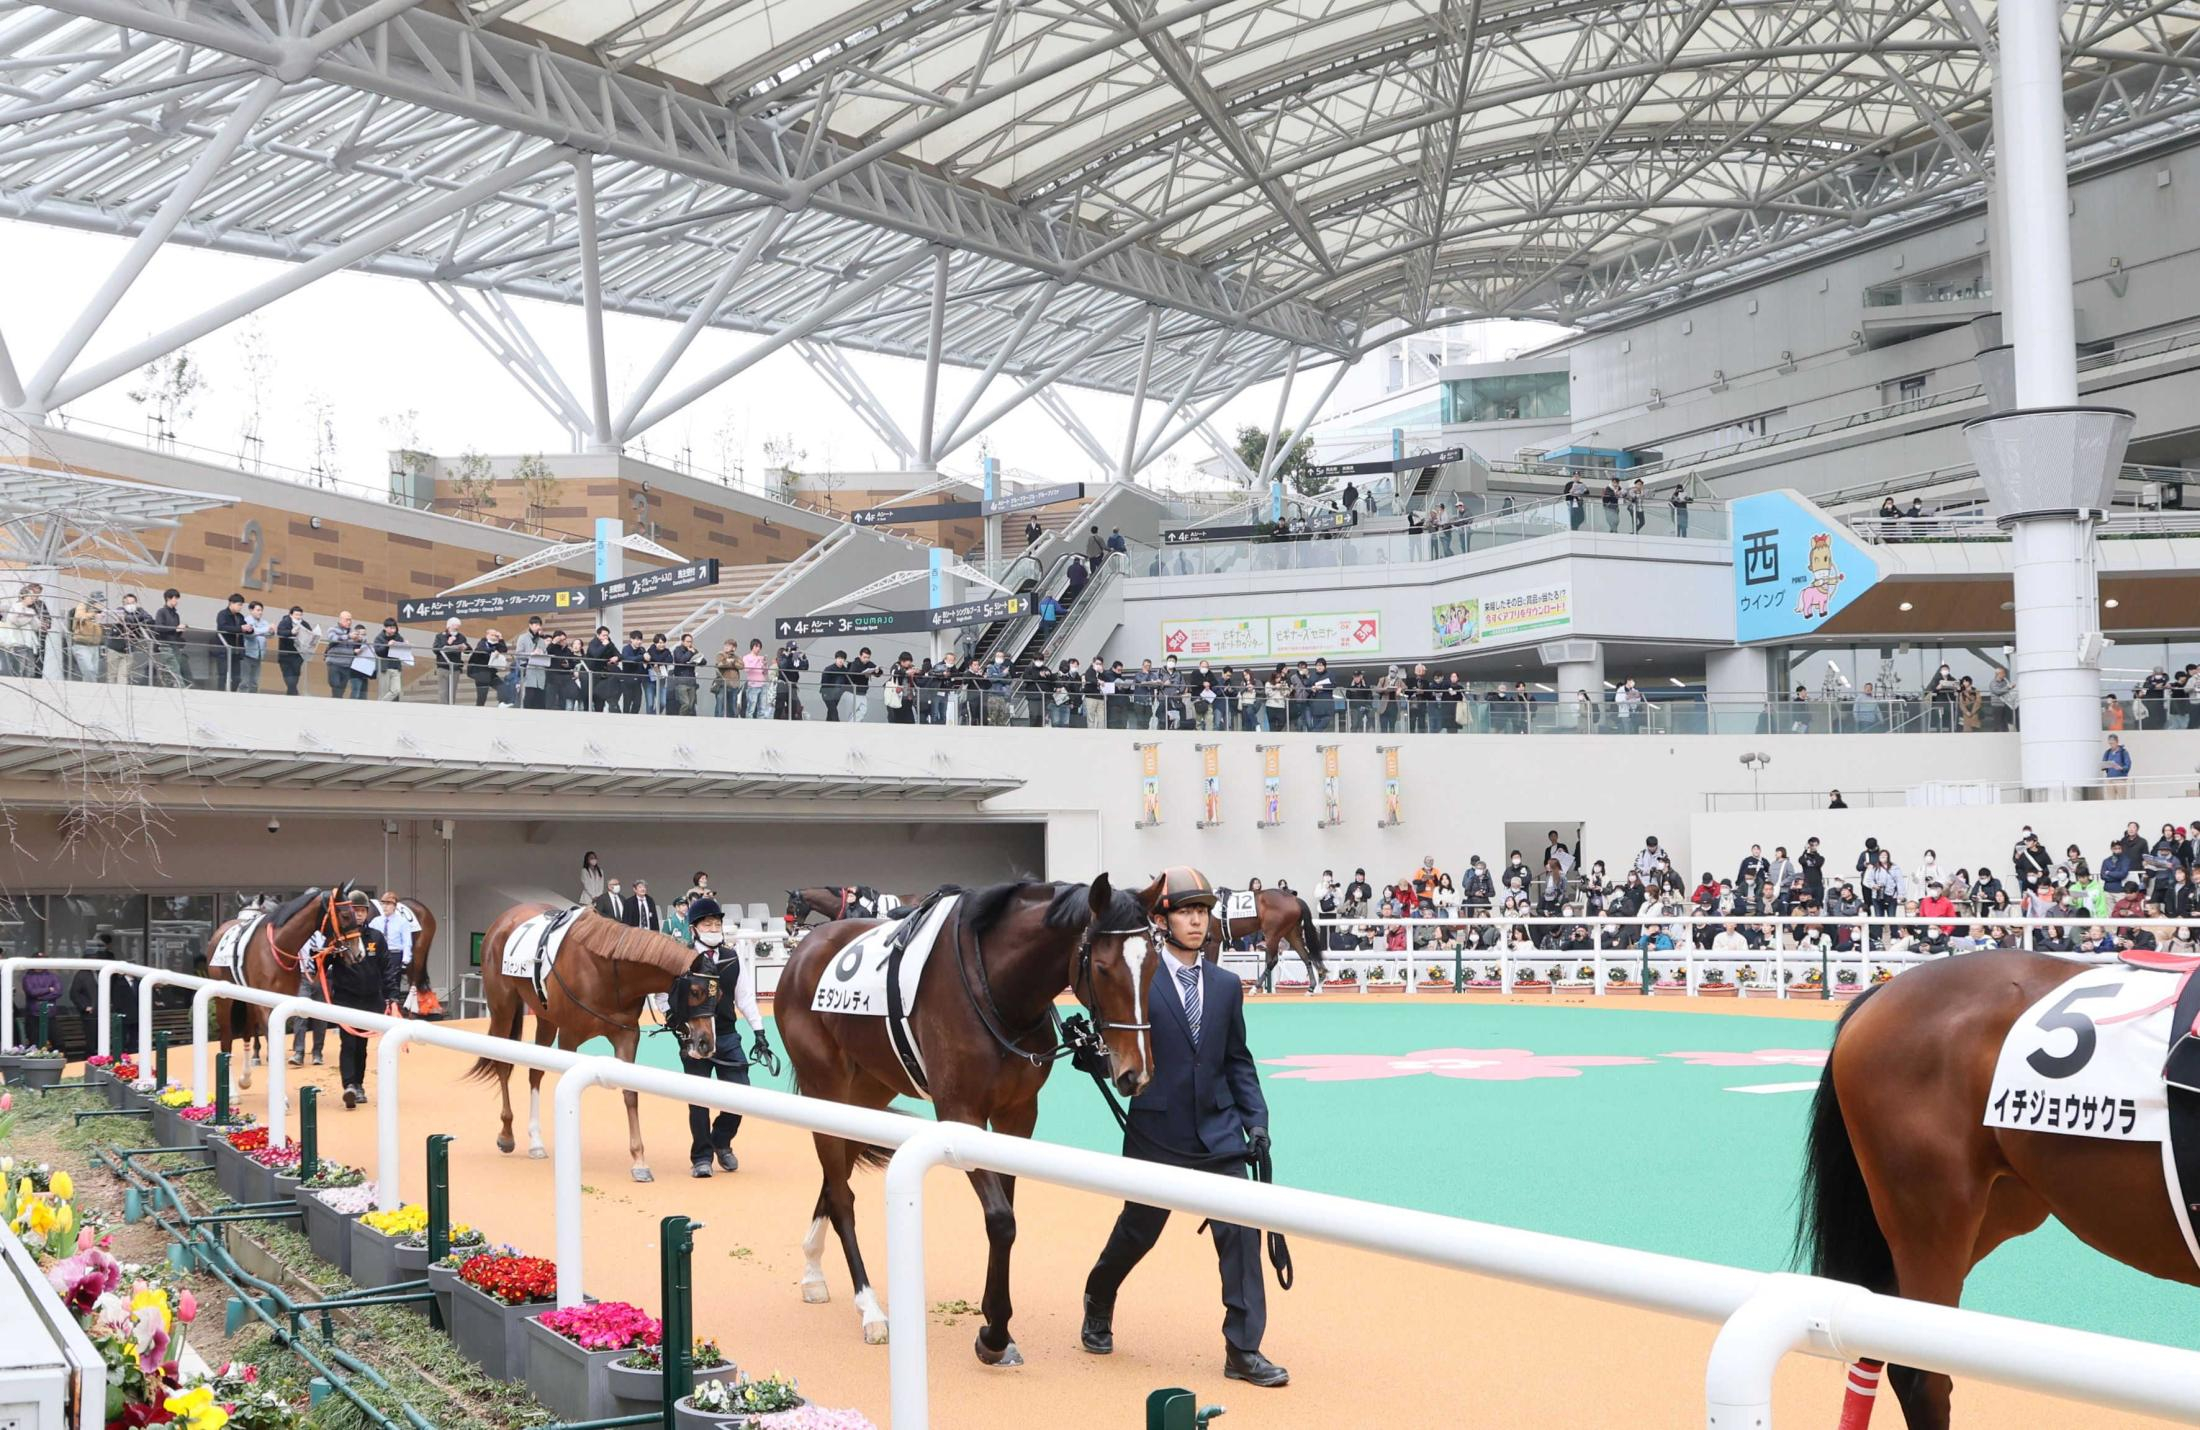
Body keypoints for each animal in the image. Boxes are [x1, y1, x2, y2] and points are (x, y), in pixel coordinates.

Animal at [214, 880, 369, 1091]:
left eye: (354, 913)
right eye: (345, 915)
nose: (359, 952)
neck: (279, 946)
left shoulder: (284, 998)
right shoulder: (263, 1002)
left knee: (245, 1031)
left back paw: (245, 1077)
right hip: (223, 999)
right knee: (226, 1038)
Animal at [468, 902, 717, 1179]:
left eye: (719, 994)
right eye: (695, 991)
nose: (706, 1043)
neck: (607, 971)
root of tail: (504, 919)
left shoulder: (626, 1034)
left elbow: (630, 1093)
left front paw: (639, 1160)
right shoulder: (569, 1035)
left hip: (545, 1017)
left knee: (535, 1072)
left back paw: (535, 1142)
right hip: (503, 1007)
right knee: (502, 1065)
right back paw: (507, 1135)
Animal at [774, 866, 1161, 1355]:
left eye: (1154, 966)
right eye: (1104, 968)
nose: (1135, 1073)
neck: (995, 986)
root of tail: (803, 951)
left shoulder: (1018, 1114)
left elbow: (1007, 1209)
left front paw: (995, 1320)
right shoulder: (961, 1114)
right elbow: (1000, 1219)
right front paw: (994, 1333)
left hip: (868, 1090)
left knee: (836, 1175)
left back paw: (812, 1270)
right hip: (824, 1085)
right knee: (842, 1195)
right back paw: (871, 1309)